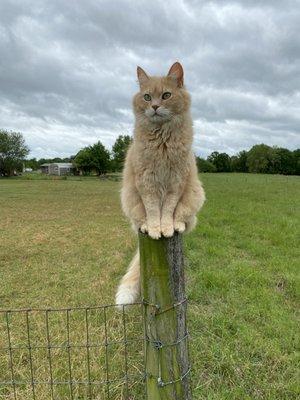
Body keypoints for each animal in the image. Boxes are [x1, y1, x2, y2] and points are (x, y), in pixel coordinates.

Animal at [116, 61, 205, 306]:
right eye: (147, 97)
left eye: (166, 95)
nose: (155, 107)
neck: (162, 139)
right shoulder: (147, 183)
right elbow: (154, 210)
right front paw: (155, 229)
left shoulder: (176, 182)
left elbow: (168, 211)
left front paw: (166, 228)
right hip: (130, 200)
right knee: (139, 221)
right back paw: (146, 227)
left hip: (194, 196)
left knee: (185, 220)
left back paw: (177, 226)